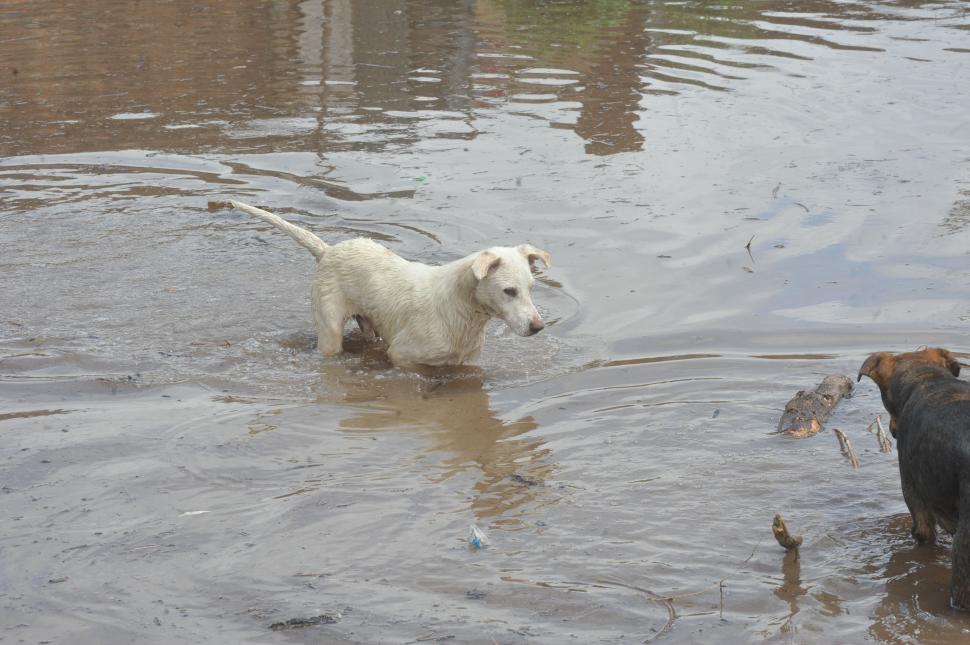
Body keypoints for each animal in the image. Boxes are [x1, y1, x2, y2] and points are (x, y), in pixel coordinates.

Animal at [215, 200, 548, 368]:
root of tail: (327, 250)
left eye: (531, 289)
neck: (461, 310)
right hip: (330, 332)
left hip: (369, 323)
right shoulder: (401, 356)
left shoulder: (466, 363)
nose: (538, 327)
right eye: (508, 291)